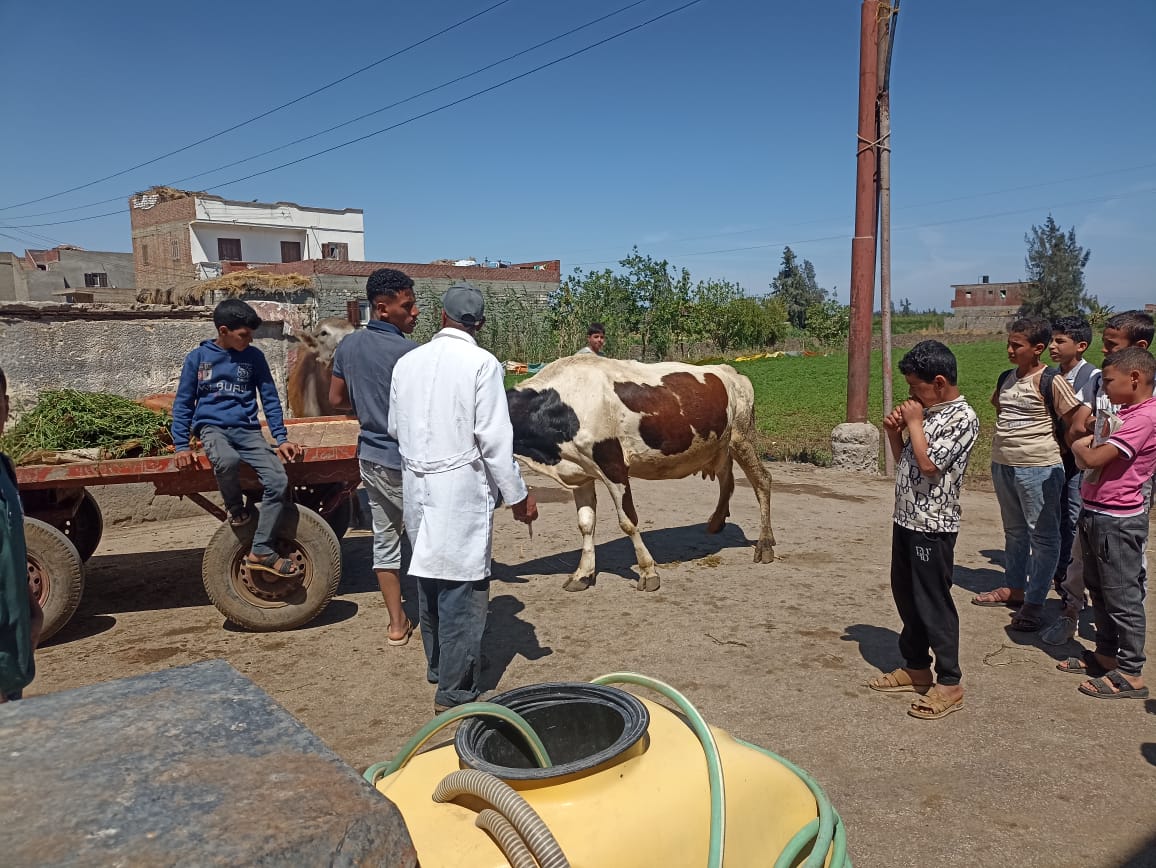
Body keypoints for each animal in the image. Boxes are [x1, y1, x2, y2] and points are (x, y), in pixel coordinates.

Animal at [507, 355, 774, 592]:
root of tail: (729, 370)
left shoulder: (613, 465)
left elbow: (628, 522)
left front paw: (648, 571)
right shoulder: (580, 471)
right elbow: (585, 523)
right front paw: (582, 574)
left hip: (742, 436)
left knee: (762, 480)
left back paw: (765, 544)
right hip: (719, 445)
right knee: (727, 478)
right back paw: (717, 521)